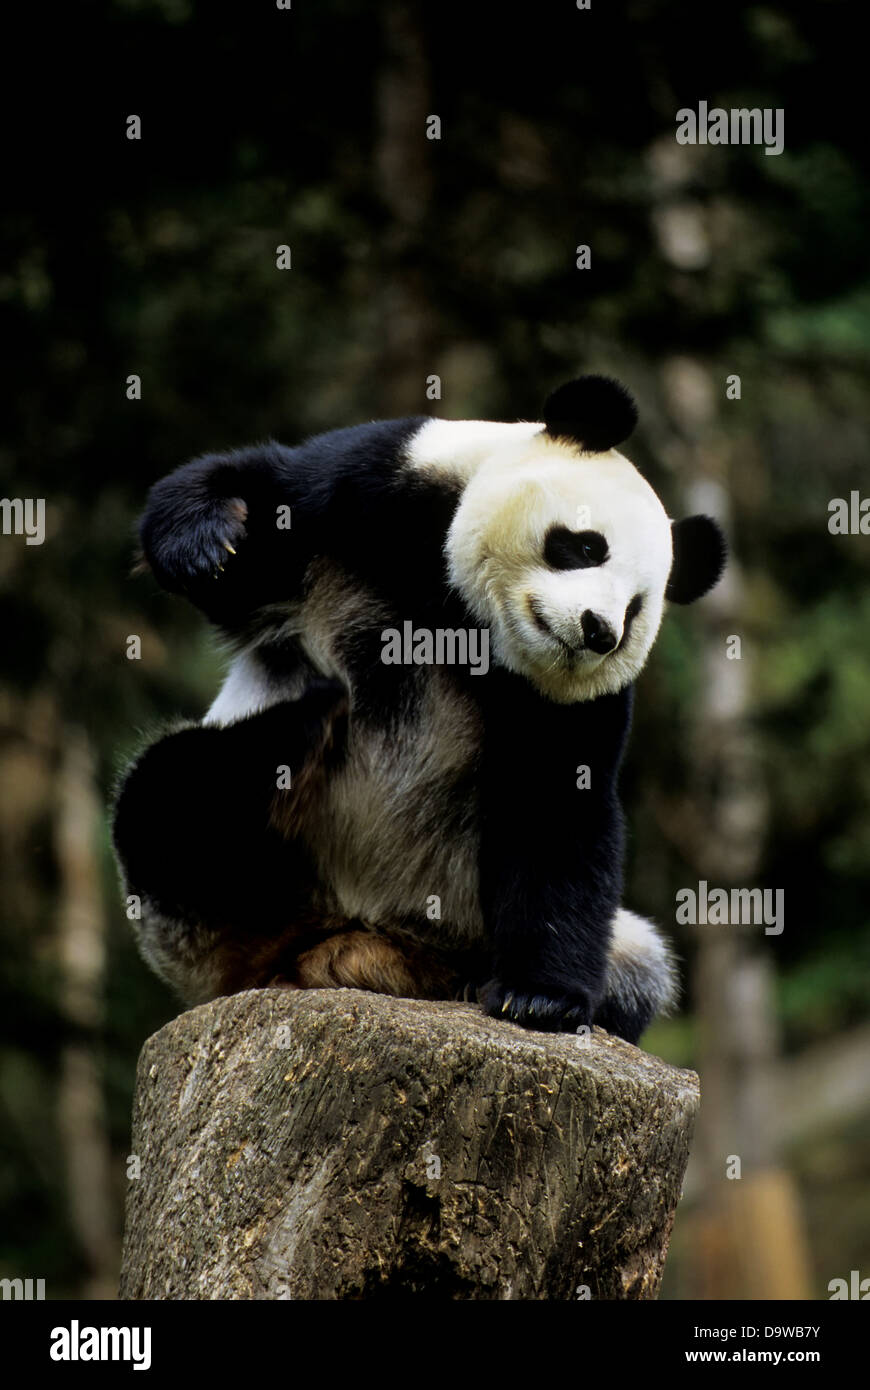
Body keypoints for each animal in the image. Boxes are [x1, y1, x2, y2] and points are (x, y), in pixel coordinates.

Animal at [111, 375, 722, 1039]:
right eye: (585, 546)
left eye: (636, 609)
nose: (598, 631)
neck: (467, 617)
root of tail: (345, 939)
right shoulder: (377, 492)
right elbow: (266, 499)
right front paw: (205, 543)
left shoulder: (572, 701)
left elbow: (558, 806)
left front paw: (541, 999)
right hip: (217, 911)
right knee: (173, 792)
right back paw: (307, 719)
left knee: (642, 966)